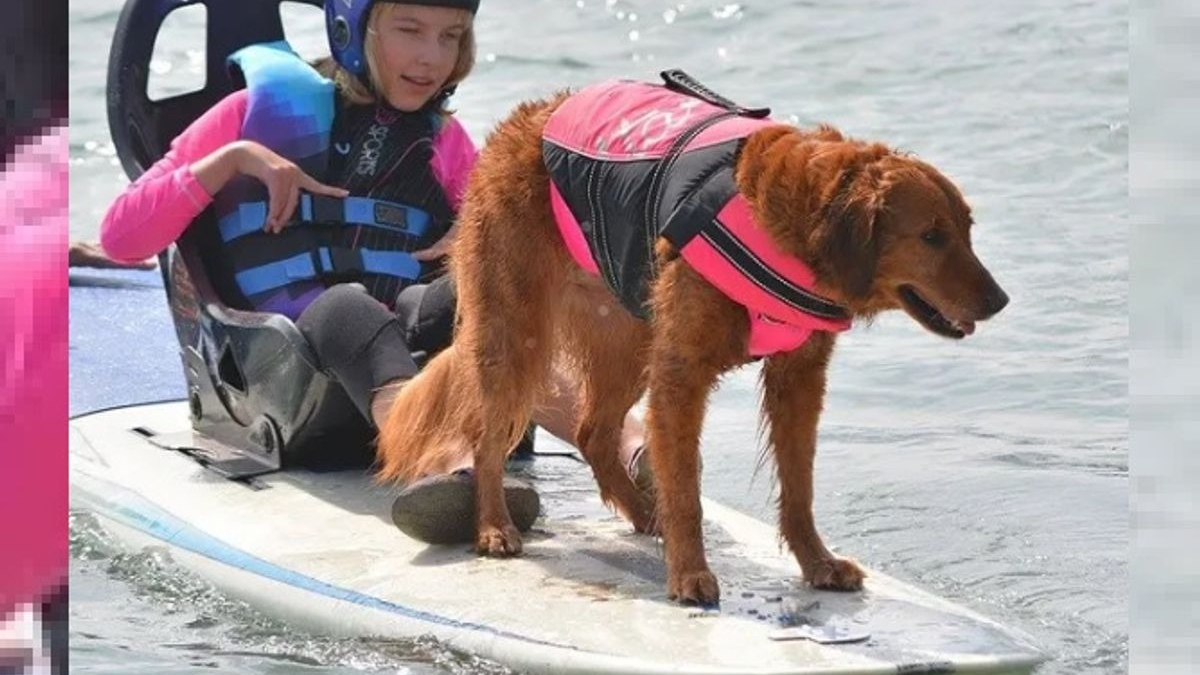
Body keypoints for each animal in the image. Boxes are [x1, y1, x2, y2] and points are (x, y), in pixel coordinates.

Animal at [372, 74, 1003, 605]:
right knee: (487, 436)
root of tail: (521, 122)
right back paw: (494, 527)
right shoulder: (682, 376)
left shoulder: (798, 378)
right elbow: (688, 493)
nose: (999, 301)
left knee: (593, 431)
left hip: (628, 333)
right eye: (931, 236)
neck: (787, 219)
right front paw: (691, 572)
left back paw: (640, 511)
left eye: (967, 229)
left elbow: (798, 487)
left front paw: (817, 563)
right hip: (516, 331)